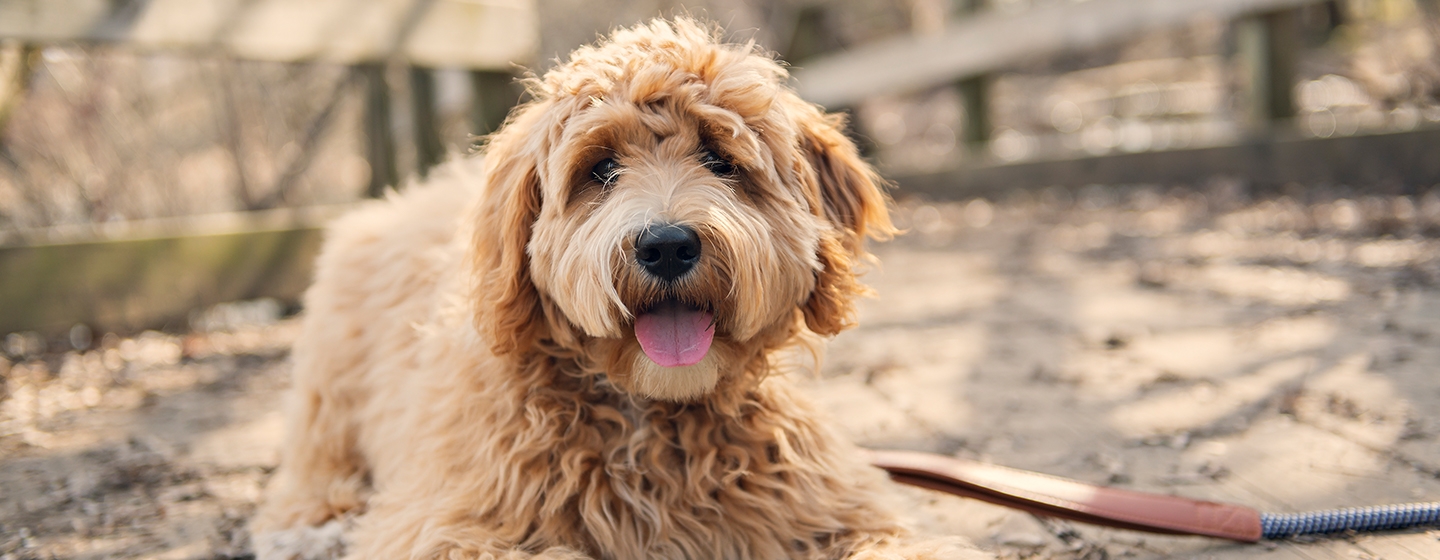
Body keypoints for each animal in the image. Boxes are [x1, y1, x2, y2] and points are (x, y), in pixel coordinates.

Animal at [250, 17, 990, 558]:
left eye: (721, 160)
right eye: (601, 168)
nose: (666, 245)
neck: (651, 416)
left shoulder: (836, 506)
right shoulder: (444, 521)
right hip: (329, 400)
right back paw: (311, 527)